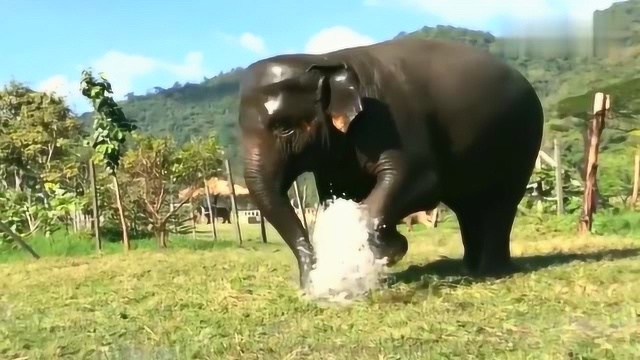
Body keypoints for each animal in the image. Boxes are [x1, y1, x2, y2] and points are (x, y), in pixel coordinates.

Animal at [238, 36, 544, 290]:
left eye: (284, 129)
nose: (307, 285)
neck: (326, 59)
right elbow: (340, 197)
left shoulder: (396, 123)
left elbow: (421, 182)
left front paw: (388, 251)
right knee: (468, 208)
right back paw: (469, 268)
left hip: (523, 142)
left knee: (500, 204)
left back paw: (492, 272)